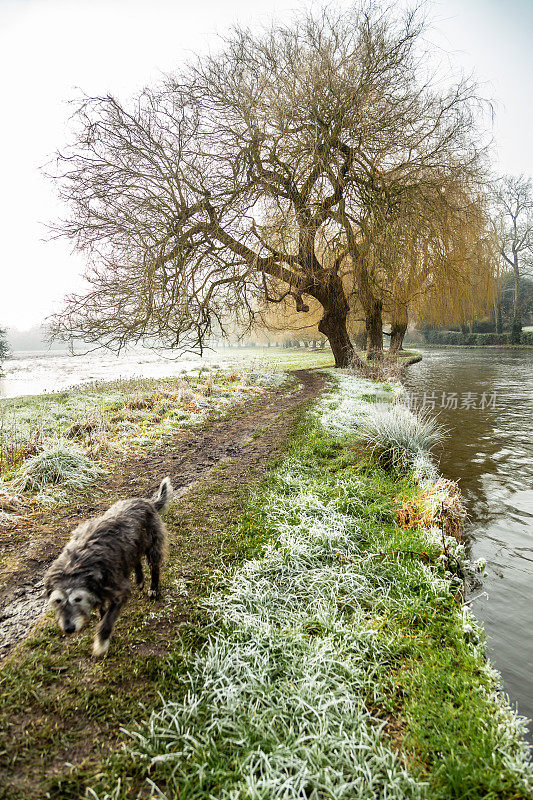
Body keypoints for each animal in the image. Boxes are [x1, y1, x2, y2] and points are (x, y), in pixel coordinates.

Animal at [45, 476, 172, 656]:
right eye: (57, 601)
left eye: (78, 599)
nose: (69, 628)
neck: (76, 565)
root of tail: (147, 502)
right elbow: (102, 610)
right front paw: (100, 616)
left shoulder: (119, 592)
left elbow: (107, 621)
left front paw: (101, 644)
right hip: (133, 548)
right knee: (136, 561)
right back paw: (139, 579)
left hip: (153, 545)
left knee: (154, 567)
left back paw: (153, 588)